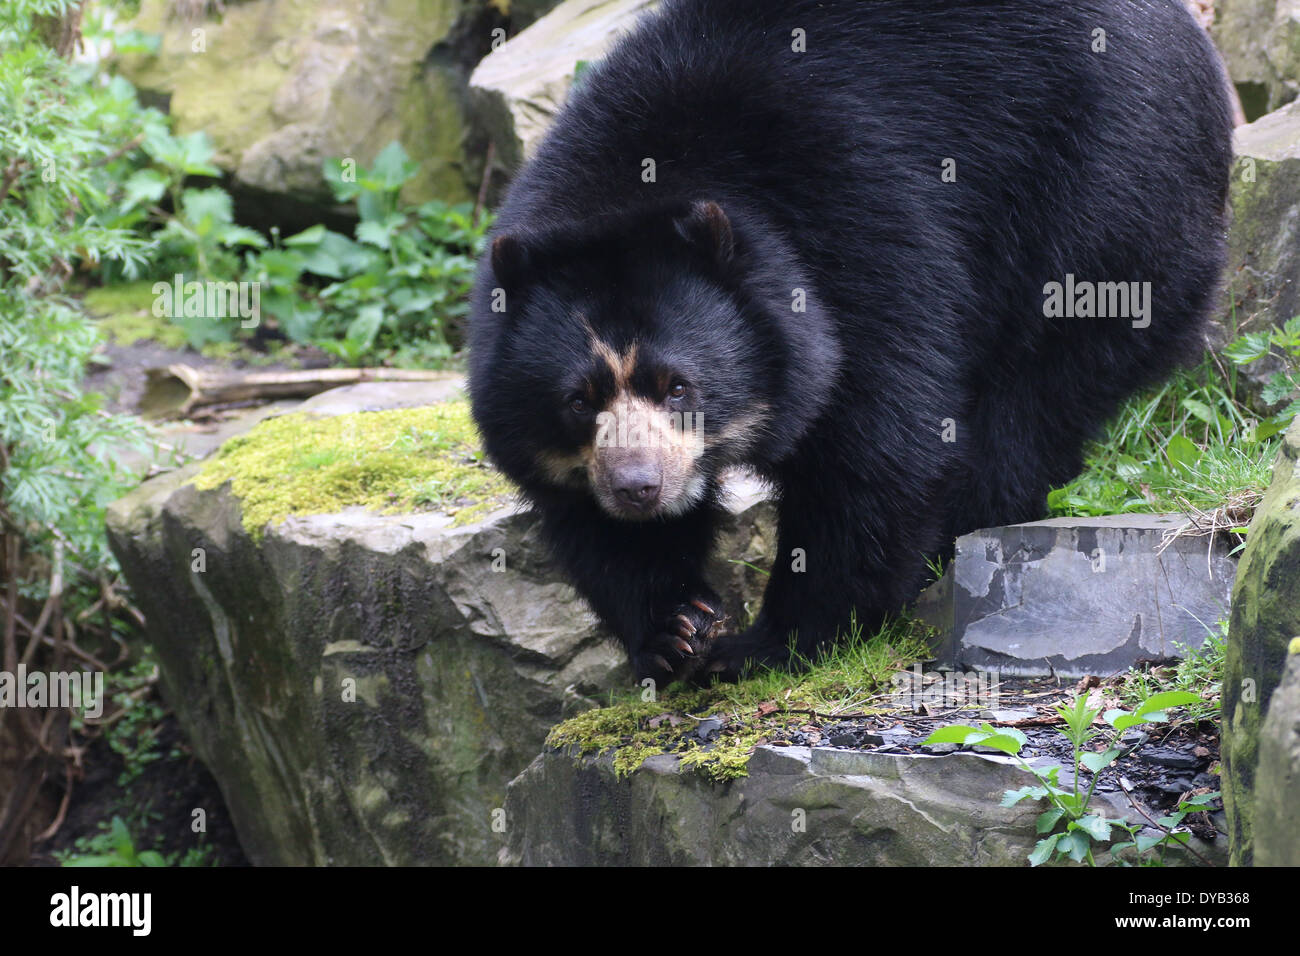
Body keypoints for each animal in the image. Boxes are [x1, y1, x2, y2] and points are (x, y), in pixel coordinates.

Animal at [467, 0, 1234, 685]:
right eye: (579, 400)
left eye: (678, 386)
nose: (637, 487)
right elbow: (585, 520)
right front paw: (674, 629)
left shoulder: (859, 239)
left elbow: (875, 450)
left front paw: (768, 645)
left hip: (1105, 202)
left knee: (1034, 394)